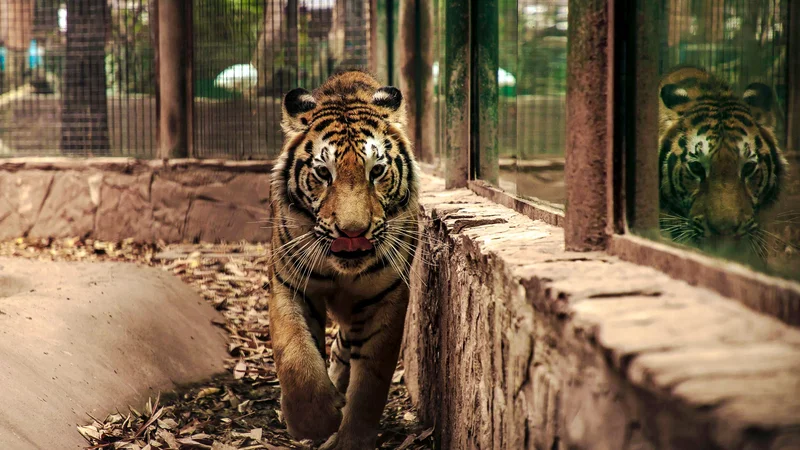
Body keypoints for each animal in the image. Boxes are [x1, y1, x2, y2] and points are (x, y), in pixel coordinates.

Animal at [268, 71, 422, 450]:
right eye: (324, 173)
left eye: (377, 171)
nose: (353, 232)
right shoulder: (289, 285)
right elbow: (295, 355)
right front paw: (313, 422)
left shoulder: (386, 298)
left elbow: (370, 383)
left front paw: (350, 439)